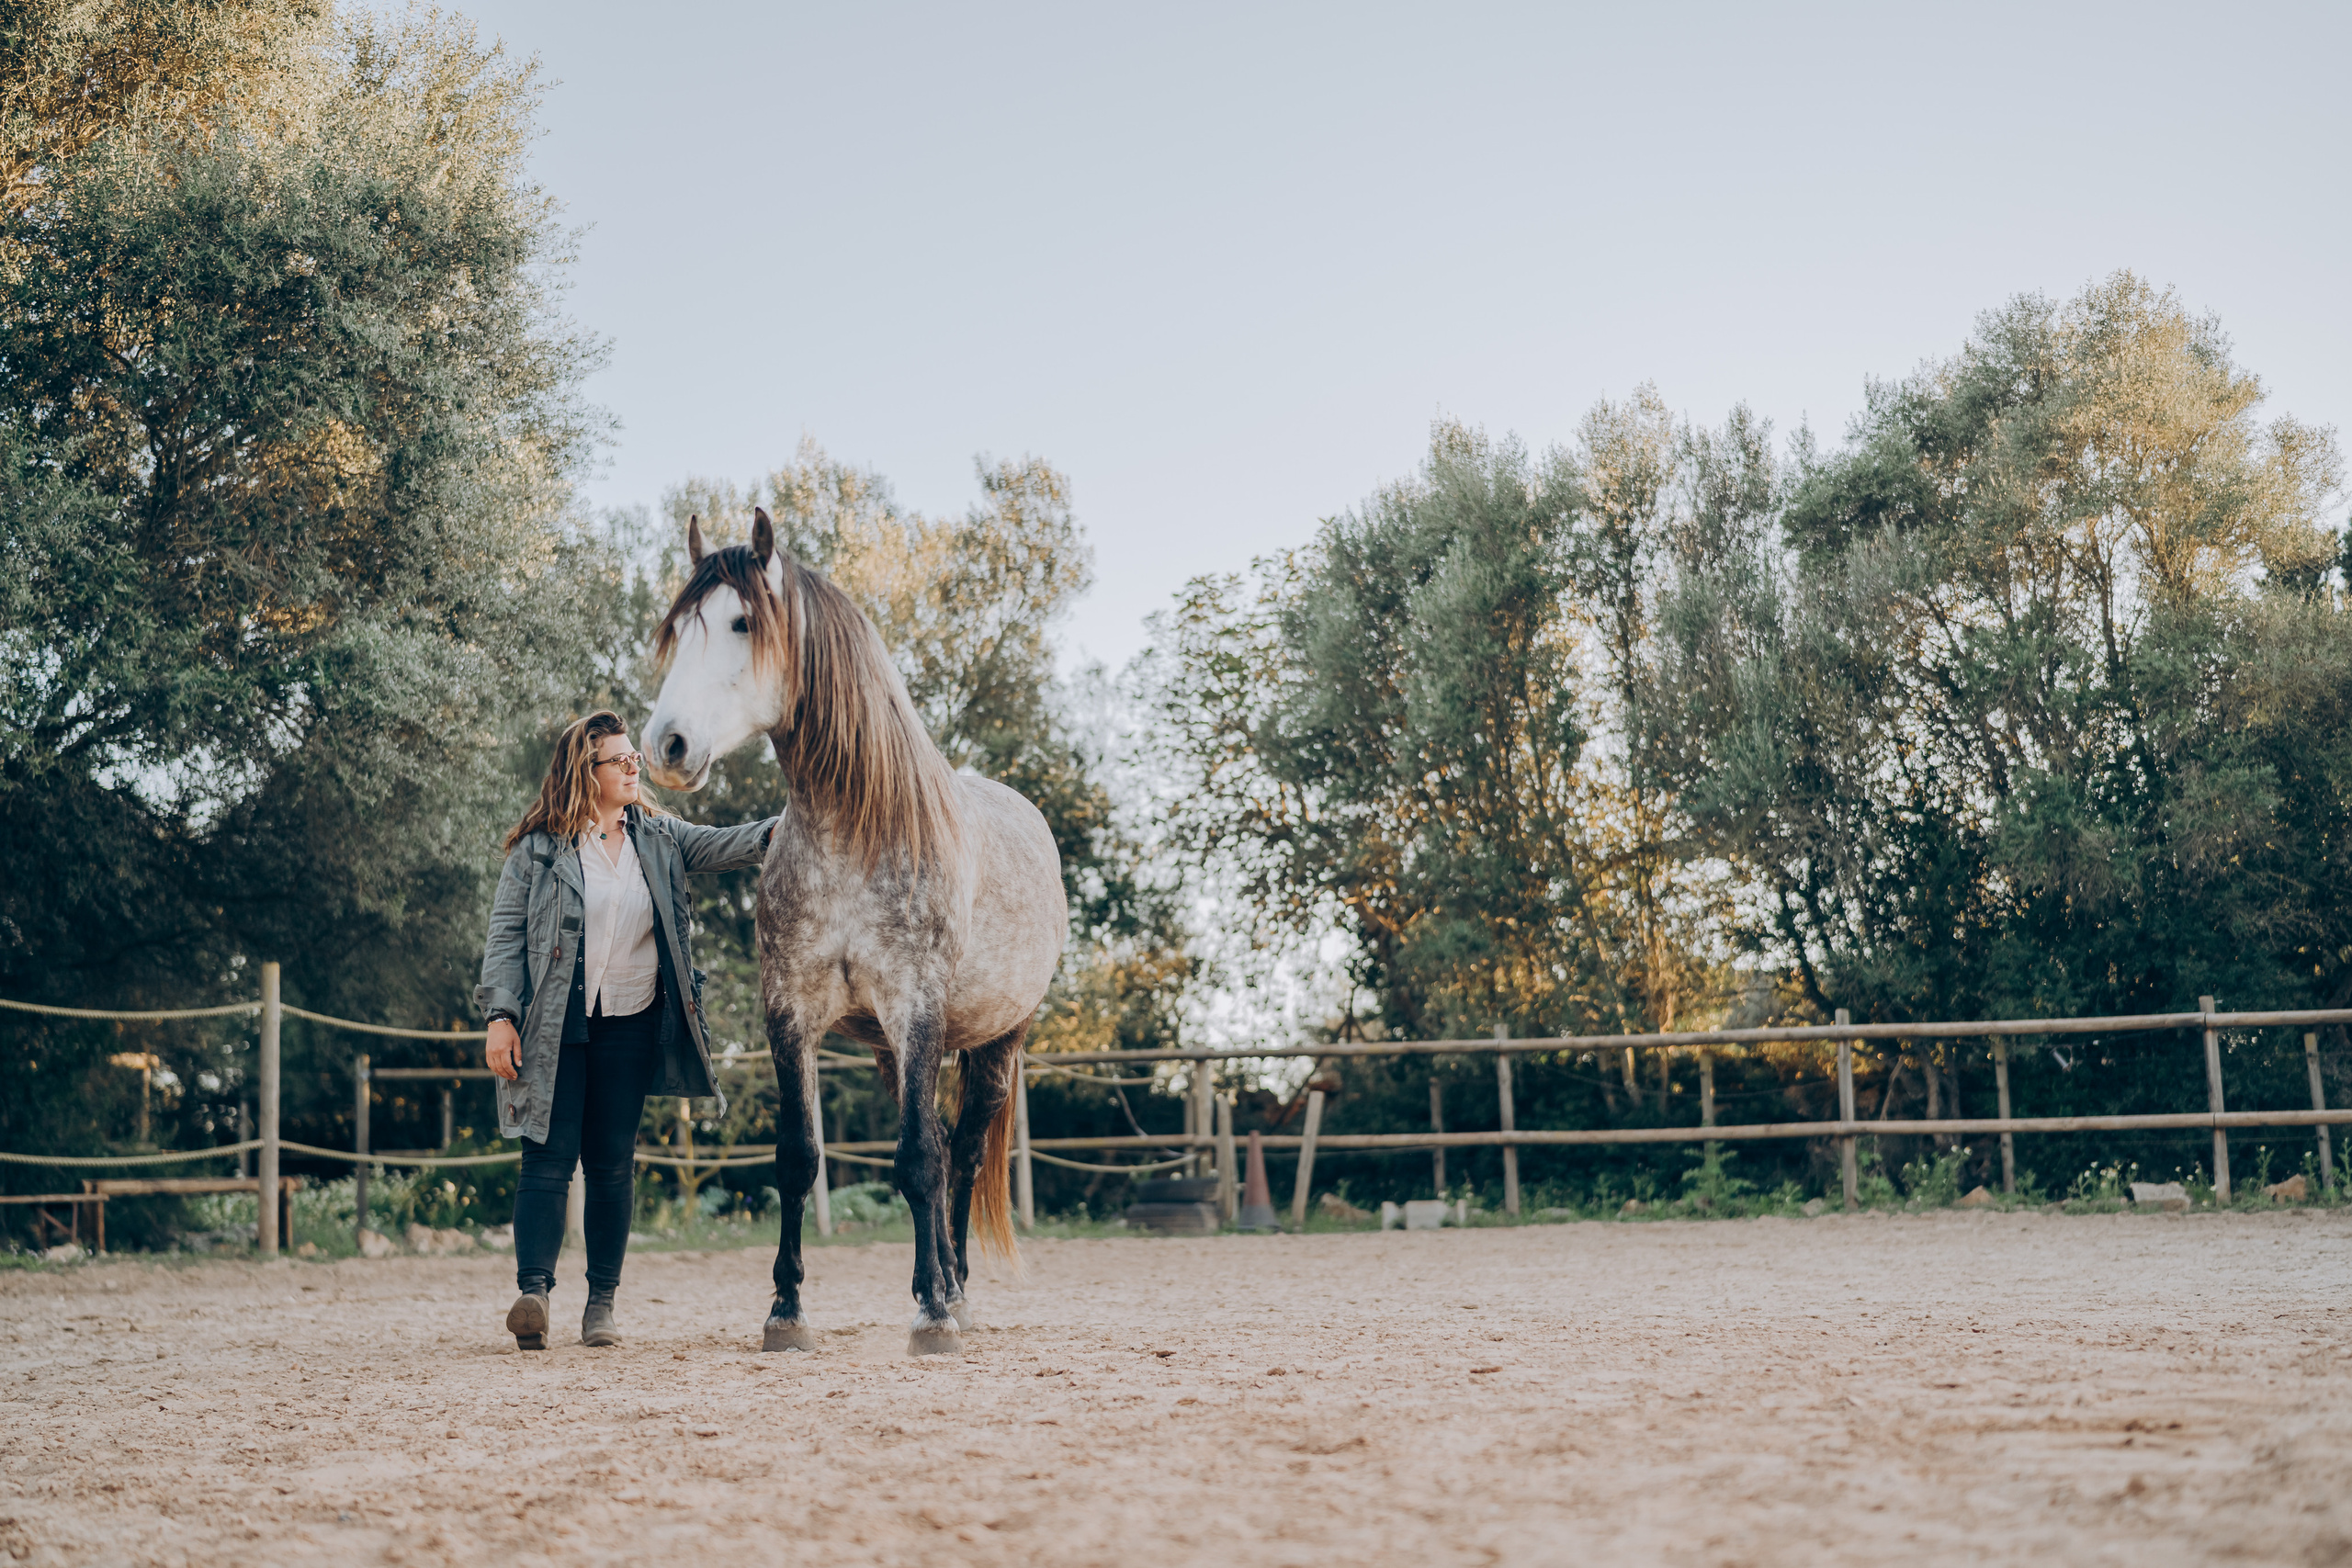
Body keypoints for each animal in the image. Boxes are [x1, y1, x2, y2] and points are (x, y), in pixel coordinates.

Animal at [643, 508, 1066, 1355]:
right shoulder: (790, 1012)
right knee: (939, 1143)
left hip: (996, 1042)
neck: (855, 836)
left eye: (742, 622)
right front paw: (785, 1310)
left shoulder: (916, 1009)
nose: (666, 745)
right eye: (680, 629)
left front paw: (933, 1314)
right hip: (900, 1053)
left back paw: (955, 1292)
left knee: (960, 1154)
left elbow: (920, 1161)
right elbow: (798, 1158)